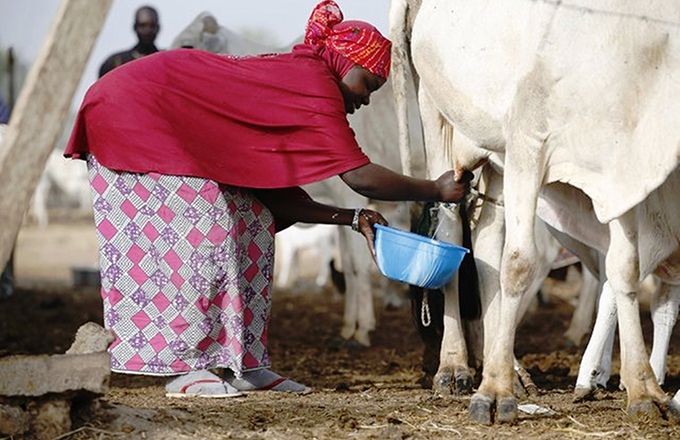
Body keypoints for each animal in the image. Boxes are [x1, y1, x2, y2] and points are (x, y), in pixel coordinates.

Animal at [398, 0, 680, 422]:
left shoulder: (621, 170)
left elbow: (625, 268)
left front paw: (643, 389)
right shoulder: (528, 139)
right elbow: (518, 264)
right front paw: (493, 394)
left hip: (494, 161)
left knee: (486, 239)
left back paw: (503, 366)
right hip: (439, 119)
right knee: (451, 234)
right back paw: (455, 366)